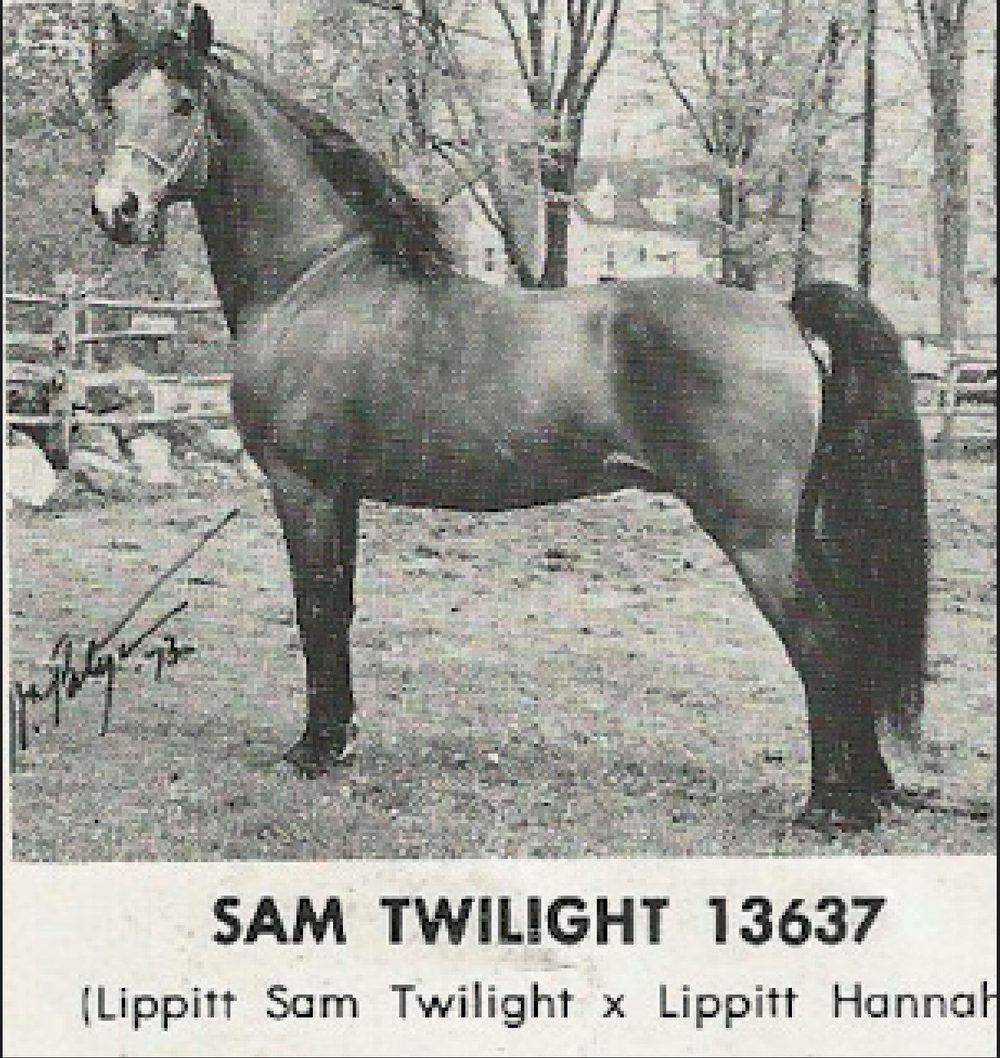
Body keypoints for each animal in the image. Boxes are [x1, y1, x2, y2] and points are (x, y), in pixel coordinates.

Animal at [89, 5, 928, 828]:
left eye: (184, 103)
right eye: (116, 102)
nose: (114, 209)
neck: (314, 280)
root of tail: (783, 313)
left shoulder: (305, 488)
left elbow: (316, 609)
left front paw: (315, 748)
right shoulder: (342, 494)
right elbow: (342, 608)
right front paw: (342, 738)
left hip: (756, 535)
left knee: (819, 639)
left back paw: (831, 807)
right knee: (849, 631)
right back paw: (869, 789)